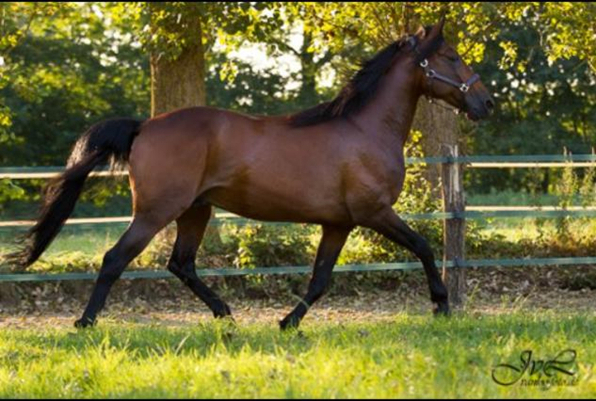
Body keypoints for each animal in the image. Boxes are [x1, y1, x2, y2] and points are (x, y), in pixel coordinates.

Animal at [11, 19, 494, 328]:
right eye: (451, 56)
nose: (485, 103)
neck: (365, 129)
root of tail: (144, 126)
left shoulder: (338, 223)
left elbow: (319, 280)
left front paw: (287, 322)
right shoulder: (374, 213)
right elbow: (424, 246)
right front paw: (441, 305)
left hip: (196, 211)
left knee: (181, 263)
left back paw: (225, 313)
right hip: (156, 212)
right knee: (116, 259)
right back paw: (85, 322)